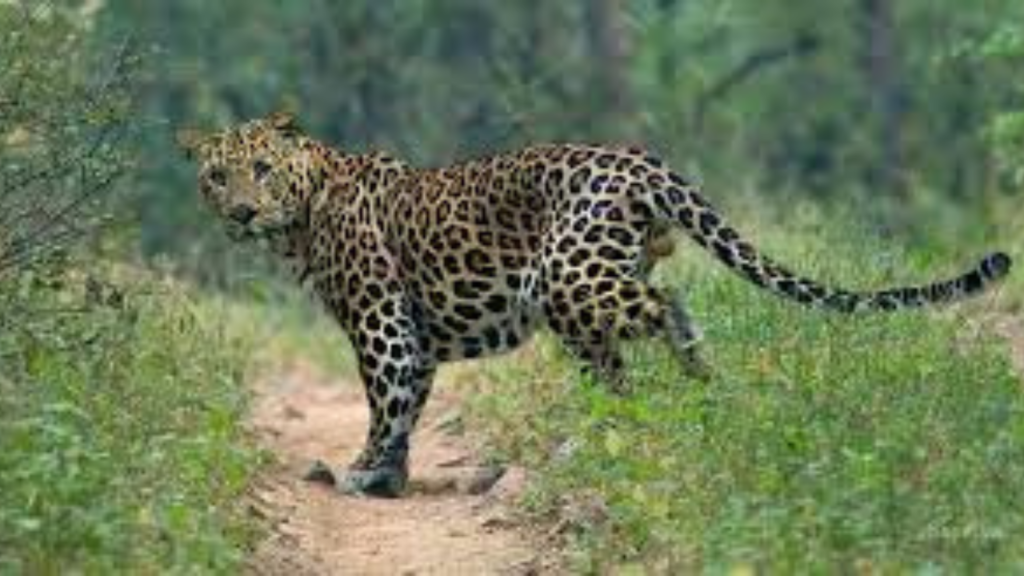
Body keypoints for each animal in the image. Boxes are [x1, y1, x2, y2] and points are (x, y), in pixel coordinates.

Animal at [178, 111, 1012, 498]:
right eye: (218, 176)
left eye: (260, 168)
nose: (241, 211)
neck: (303, 213)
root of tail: (640, 159)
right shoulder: (411, 331)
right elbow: (409, 403)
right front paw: (389, 477)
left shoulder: (381, 320)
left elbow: (386, 401)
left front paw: (360, 473)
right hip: (584, 299)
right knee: (621, 371)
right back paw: (634, 426)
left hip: (566, 276)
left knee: (668, 306)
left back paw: (695, 382)